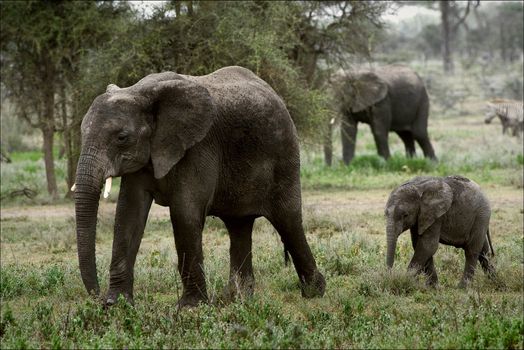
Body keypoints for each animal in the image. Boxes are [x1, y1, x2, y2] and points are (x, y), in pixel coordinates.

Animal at [71, 65, 326, 306]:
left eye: (122, 137)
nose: (96, 296)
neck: (141, 91)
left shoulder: (198, 148)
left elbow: (184, 214)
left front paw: (191, 308)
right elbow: (128, 214)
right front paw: (117, 305)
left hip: (284, 155)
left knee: (288, 220)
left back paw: (314, 293)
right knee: (239, 225)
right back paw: (237, 299)